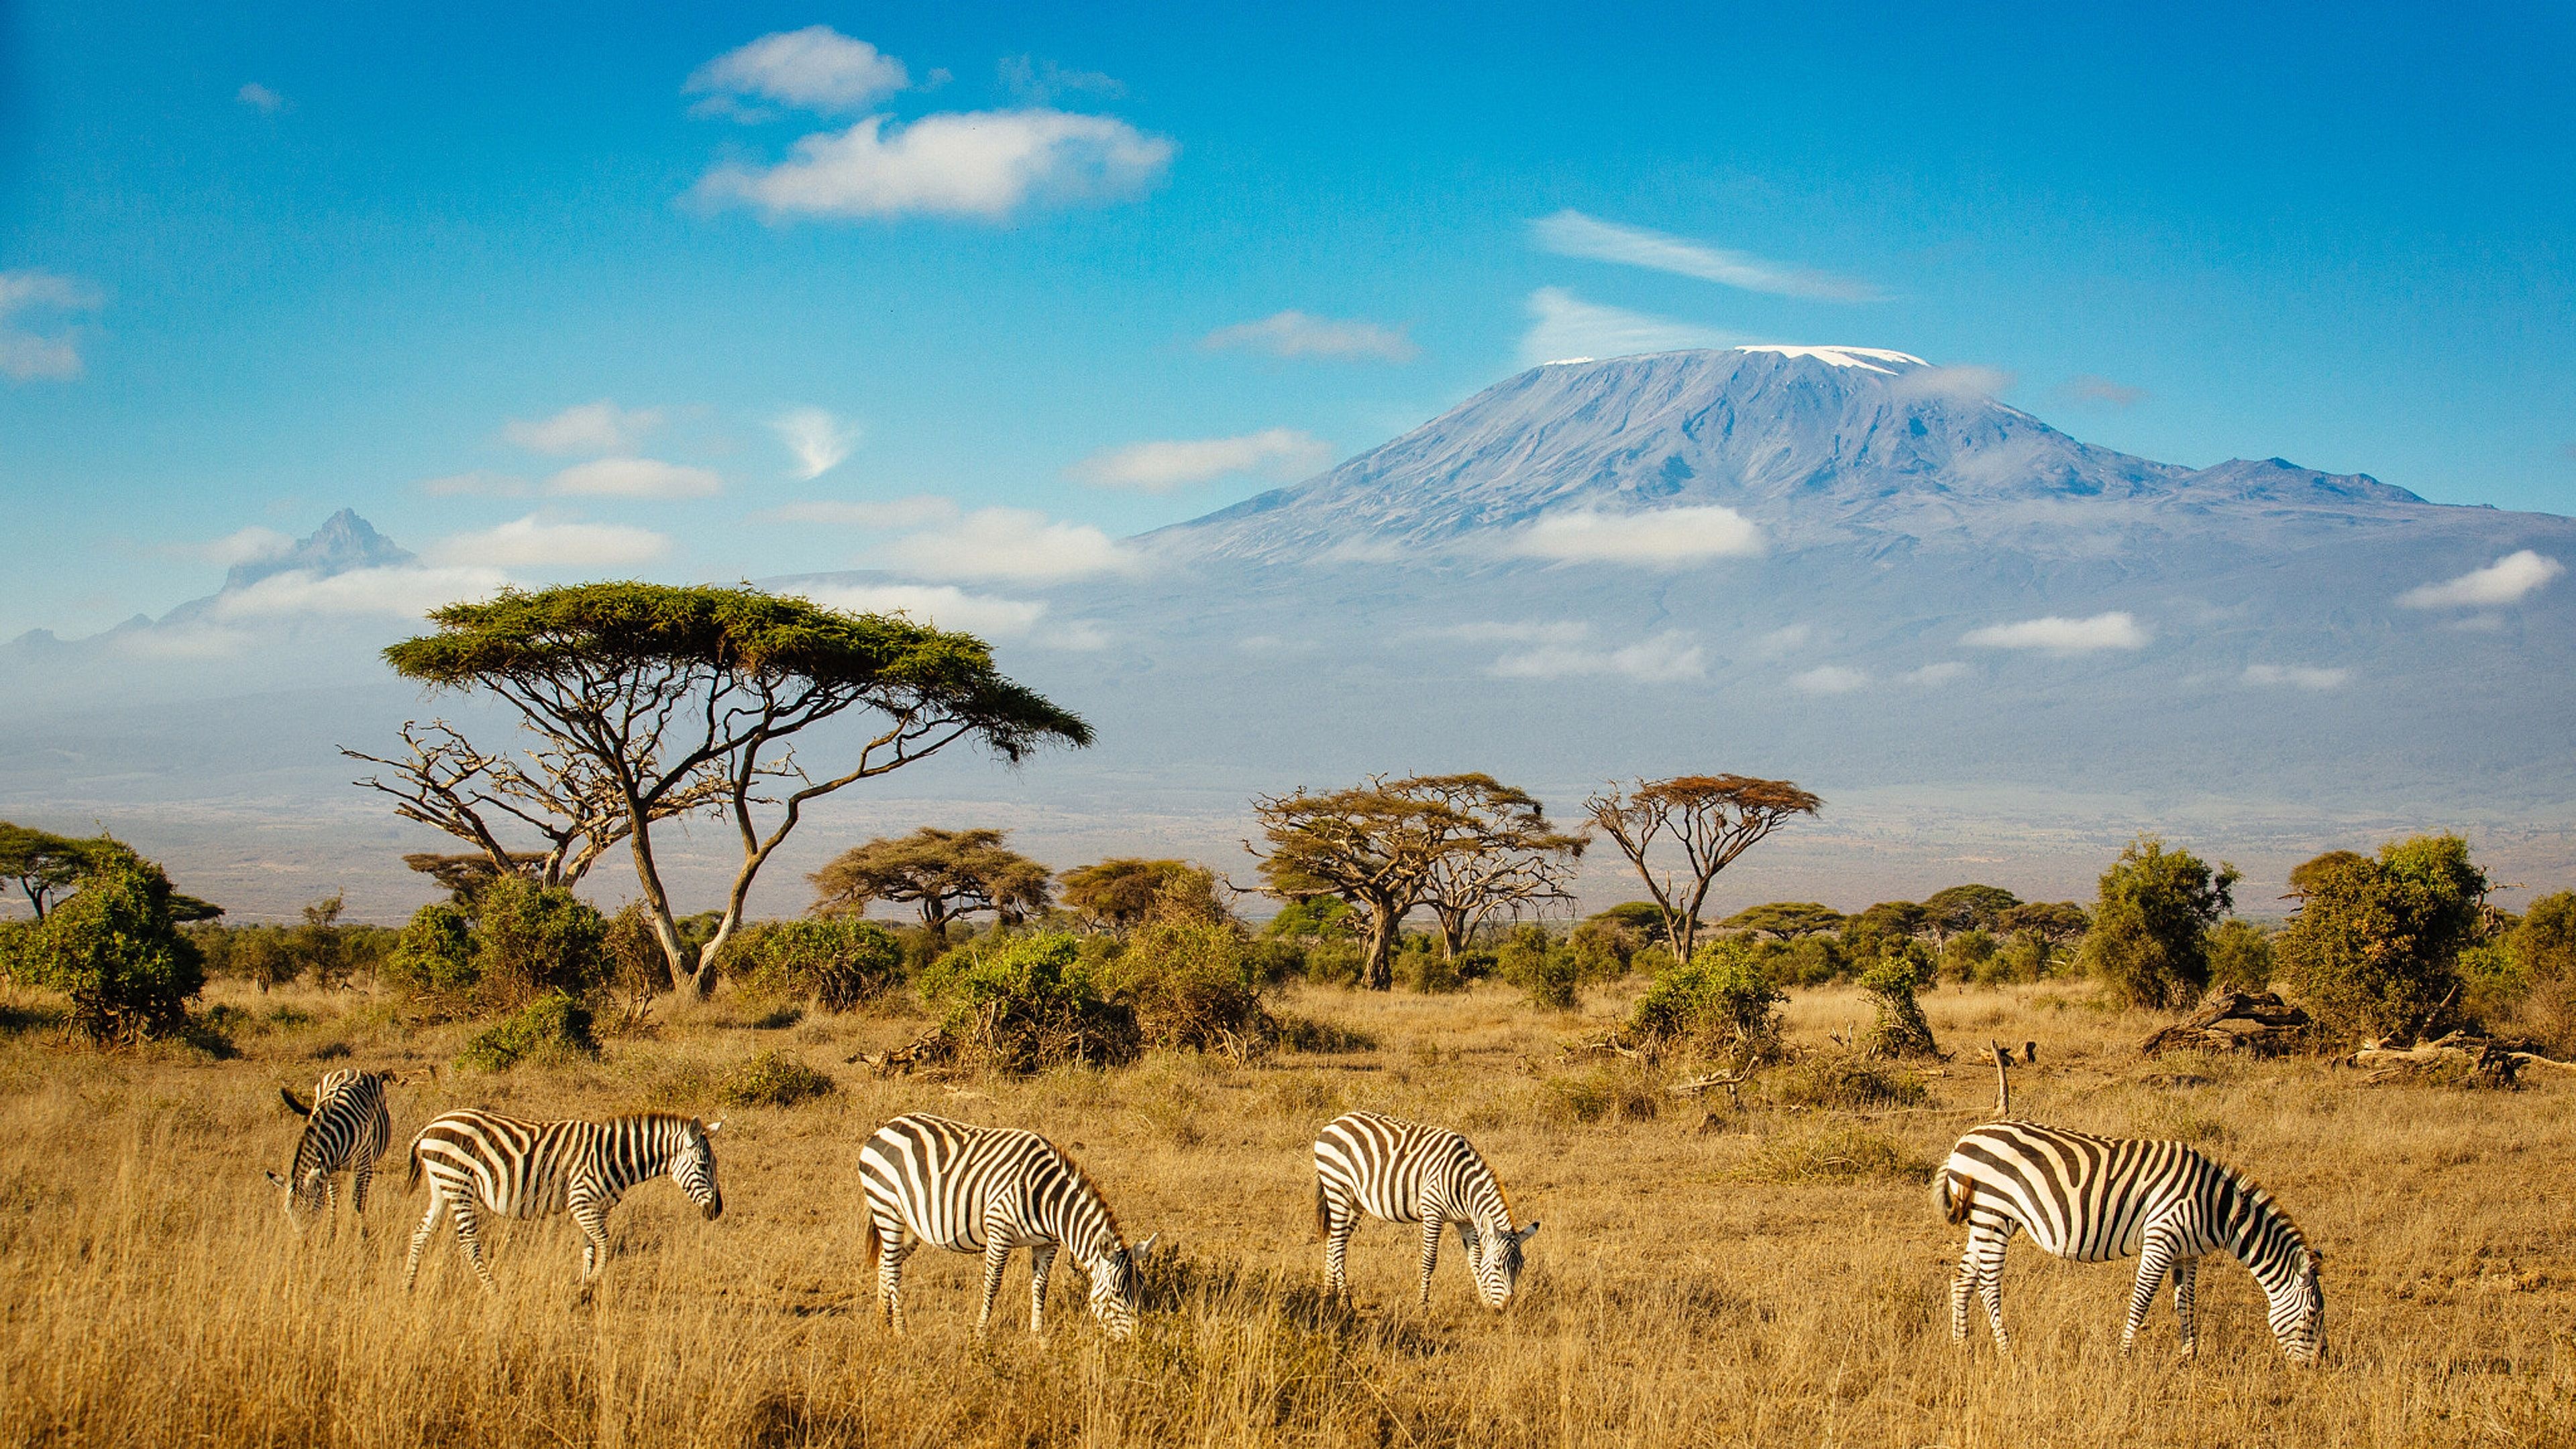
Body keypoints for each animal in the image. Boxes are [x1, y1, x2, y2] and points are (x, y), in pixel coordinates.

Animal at [269, 1062, 399, 1217]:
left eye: (308, 1212)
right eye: (288, 1215)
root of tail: (354, 1070)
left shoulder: (363, 1162)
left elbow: (359, 1201)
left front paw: (361, 1224)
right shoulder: (329, 1166)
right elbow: (334, 1195)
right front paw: (333, 1224)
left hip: (369, 1160)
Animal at [402, 1103, 726, 1284]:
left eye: (715, 1165)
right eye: (703, 1165)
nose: (717, 1211)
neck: (615, 1156)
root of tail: (431, 1126)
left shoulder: (594, 1207)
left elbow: (591, 1247)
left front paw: (583, 1286)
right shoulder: (581, 1201)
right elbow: (604, 1243)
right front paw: (591, 1281)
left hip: (442, 1184)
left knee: (421, 1231)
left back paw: (409, 1284)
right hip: (459, 1184)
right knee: (468, 1242)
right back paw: (491, 1287)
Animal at [855, 1108, 1159, 1340]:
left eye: (1141, 1289)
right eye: (1118, 1293)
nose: (1136, 1342)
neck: (1047, 1199)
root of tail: (887, 1126)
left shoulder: (1048, 1244)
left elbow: (1040, 1286)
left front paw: (1038, 1338)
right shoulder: (999, 1231)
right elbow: (992, 1284)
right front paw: (981, 1334)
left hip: (911, 1224)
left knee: (886, 1261)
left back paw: (883, 1320)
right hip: (887, 1209)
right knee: (893, 1269)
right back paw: (901, 1331)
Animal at [1319, 1103, 1535, 1309]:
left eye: (1521, 1267)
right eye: (1497, 1266)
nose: (1505, 1307)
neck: (1463, 1183)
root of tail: (1334, 1122)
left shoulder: (1465, 1220)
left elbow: (1476, 1260)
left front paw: (1486, 1302)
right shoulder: (1433, 1212)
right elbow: (1430, 1260)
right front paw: (1423, 1305)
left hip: (1355, 1201)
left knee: (1334, 1241)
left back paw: (1328, 1295)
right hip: (1338, 1188)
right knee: (1338, 1245)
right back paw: (1346, 1302)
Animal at [1937, 1119, 2339, 1350]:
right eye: (2314, 1314)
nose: (2320, 1365)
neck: (2214, 1207)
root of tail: (1966, 1139)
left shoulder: (2187, 1253)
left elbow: (2186, 1303)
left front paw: (2190, 1358)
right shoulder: (2161, 1239)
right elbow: (2141, 1300)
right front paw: (2125, 1355)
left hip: (1984, 1220)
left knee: (1963, 1278)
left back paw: (1962, 1345)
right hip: (1994, 1214)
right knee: (1989, 1285)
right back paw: (2006, 1351)